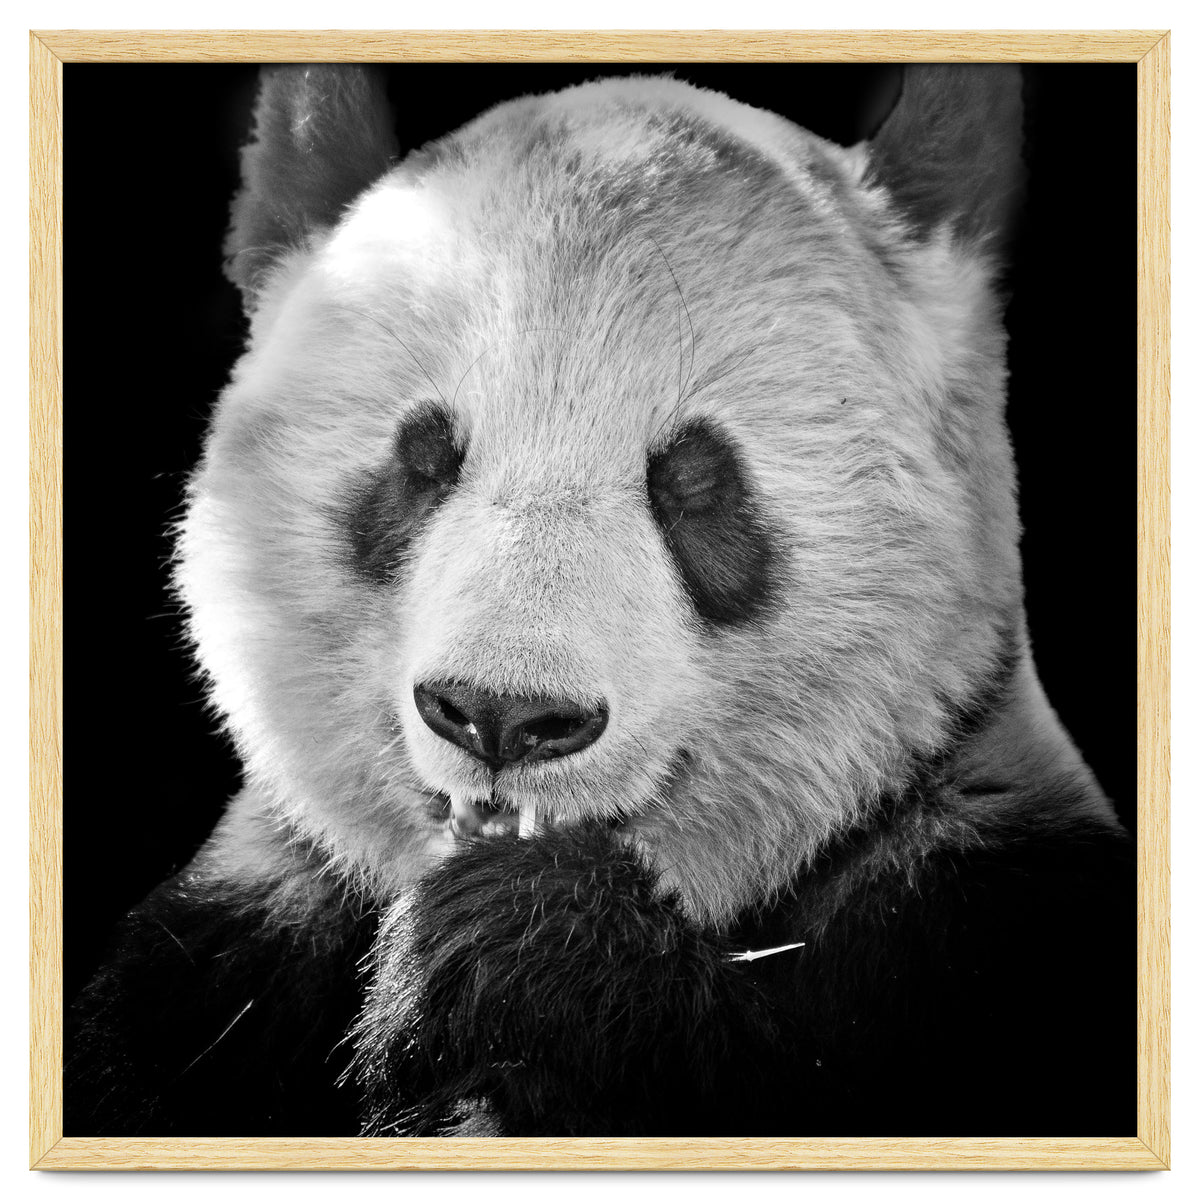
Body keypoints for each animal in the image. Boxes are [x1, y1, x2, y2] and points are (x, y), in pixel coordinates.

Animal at [66, 64, 1133, 1138]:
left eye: (694, 481)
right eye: (424, 459)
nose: (502, 715)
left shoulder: (981, 913)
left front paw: (522, 949)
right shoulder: (223, 957)